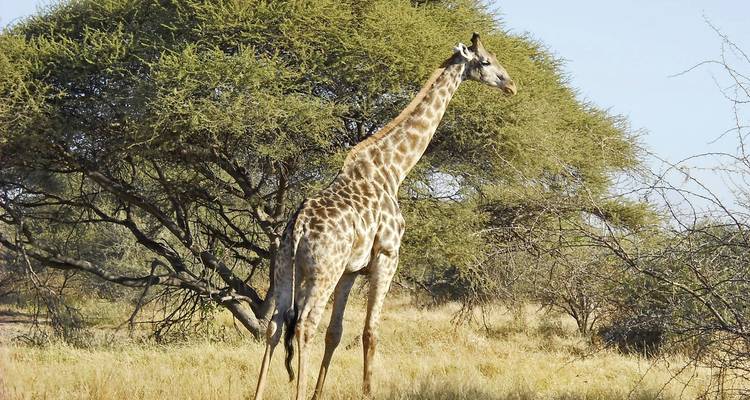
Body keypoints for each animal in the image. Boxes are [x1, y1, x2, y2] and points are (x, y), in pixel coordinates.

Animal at [253, 33, 517, 400]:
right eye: (486, 61)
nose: (512, 85)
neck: (393, 169)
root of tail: (300, 226)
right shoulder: (387, 257)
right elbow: (370, 331)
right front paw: (366, 391)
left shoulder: (352, 270)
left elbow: (336, 332)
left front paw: (320, 392)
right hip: (322, 272)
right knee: (304, 324)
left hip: (285, 269)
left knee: (276, 325)